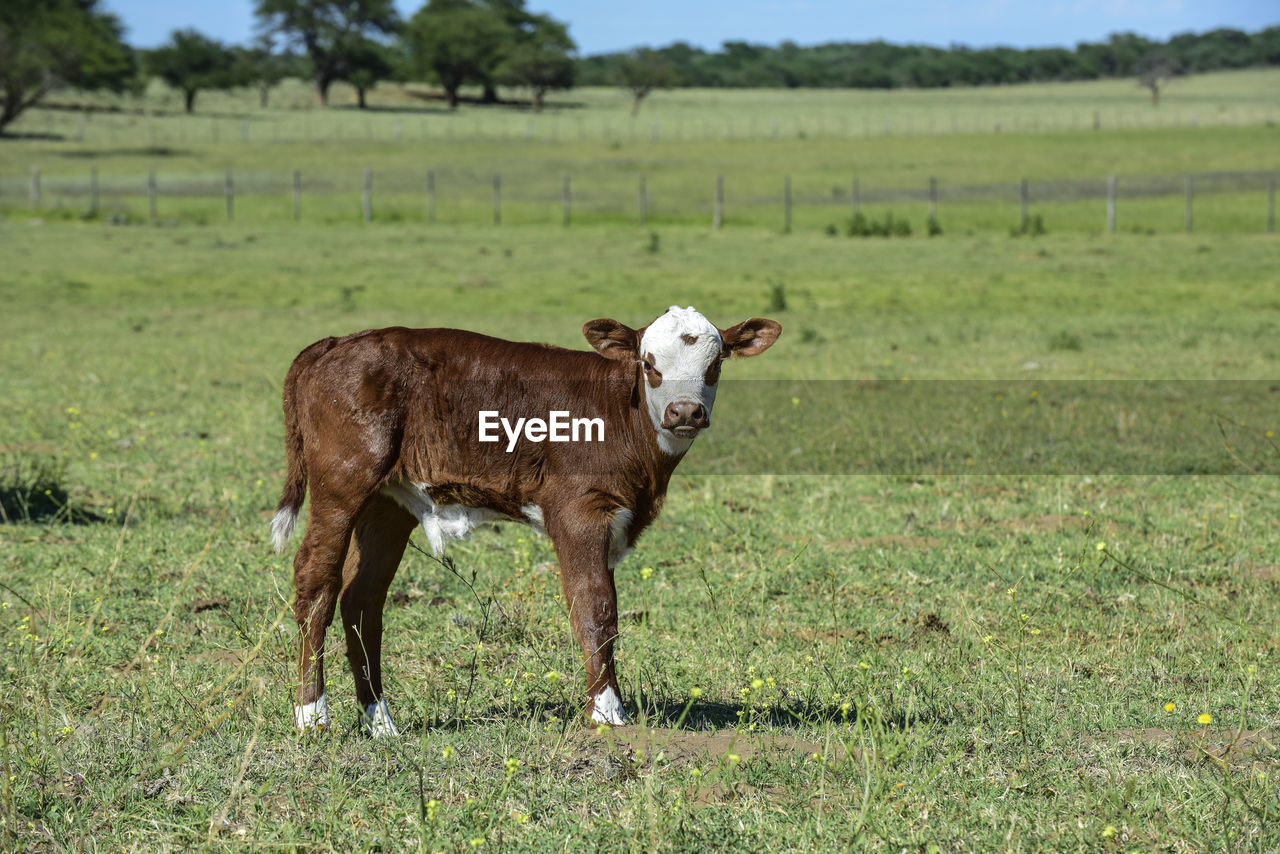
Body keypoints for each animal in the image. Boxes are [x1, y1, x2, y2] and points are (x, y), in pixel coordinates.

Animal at [270, 306, 778, 737]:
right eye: (649, 364)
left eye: (714, 366)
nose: (685, 412)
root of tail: (336, 343)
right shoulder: (578, 510)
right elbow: (594, 605)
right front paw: (608, 712)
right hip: (343, 481)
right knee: (316, 580)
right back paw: (312, 715)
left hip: (388, 503)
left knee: (363, 598)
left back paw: (380, 722)